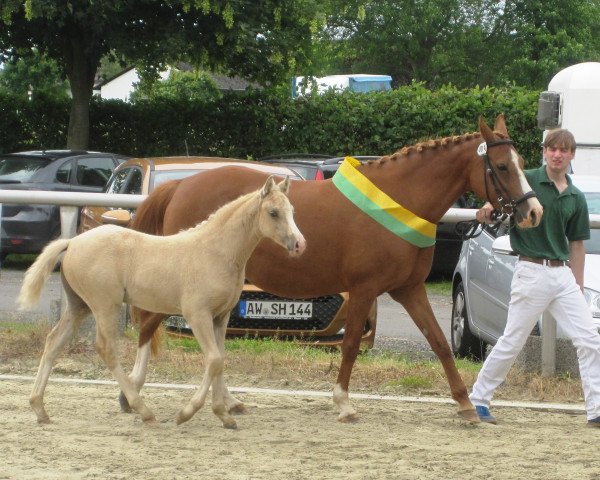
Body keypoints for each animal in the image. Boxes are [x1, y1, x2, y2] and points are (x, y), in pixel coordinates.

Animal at [18, 175, 304, 428]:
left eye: (292, 210)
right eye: (273, 212)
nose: (299, 244)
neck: (216, 252)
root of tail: (72, 242)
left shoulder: (220, 318)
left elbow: (220, 361)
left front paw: (224, 415)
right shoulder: (197, 314)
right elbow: (213, 360)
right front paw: (187, 413)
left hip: (79, 306)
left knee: (53, 343)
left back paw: (39, 409)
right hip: (104, 305)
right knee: (106, 349)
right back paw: (143, 410)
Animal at [125, 115, 540, 424]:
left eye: (522, 164)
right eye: (502, 166)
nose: (533, 211)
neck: (399, 201)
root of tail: (180, 185)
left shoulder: (409, 289)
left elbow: (439, 342)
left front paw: (466, 405)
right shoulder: (364, 289)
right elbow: (352, 344)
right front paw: (343, 403)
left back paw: (226, 402)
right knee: (149, 327)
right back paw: (132, 394)